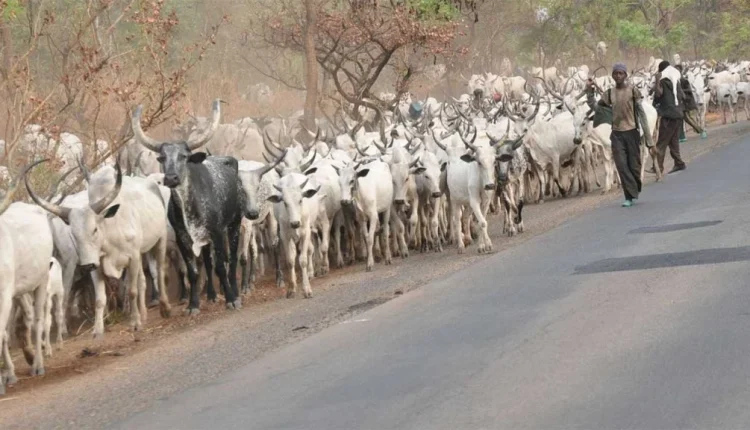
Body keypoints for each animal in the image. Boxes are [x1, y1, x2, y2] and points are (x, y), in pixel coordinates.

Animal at [131, 99, 246, 315]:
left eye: (184, 156)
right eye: (162, 158)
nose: (171, 178)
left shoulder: (217, 232)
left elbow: (221, 266)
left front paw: (230, 299)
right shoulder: (183, 238)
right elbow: (193, 272)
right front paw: (193, 304)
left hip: (234, 224)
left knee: (232, 259)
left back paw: (235, 292)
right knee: (208, 263)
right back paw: (211, 295)